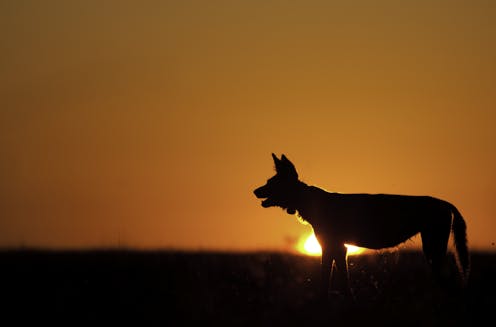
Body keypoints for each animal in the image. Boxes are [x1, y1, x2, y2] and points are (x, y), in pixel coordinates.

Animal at [254, 154, 470, 300]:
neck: (310, 201)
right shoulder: (337, 249)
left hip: (433, 250)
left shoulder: (333, 247)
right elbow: (339, 282)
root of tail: (445, 203)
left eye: (271, 183)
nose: (254, 191)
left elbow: (329, 280)